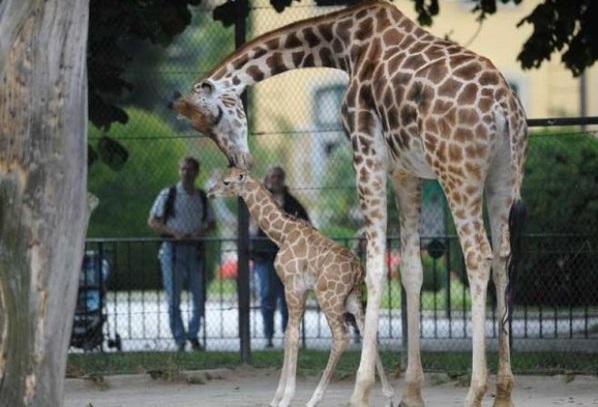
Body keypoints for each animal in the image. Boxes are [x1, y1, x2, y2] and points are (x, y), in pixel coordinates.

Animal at [206, 168, 394, 407]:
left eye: (226, 182)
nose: (210, 193)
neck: (282, 234)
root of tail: (358, 270)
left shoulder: (292, 286)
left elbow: (292, 336)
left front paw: (284, 398)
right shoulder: (301, 290)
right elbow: (288, 333)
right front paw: (277, 398)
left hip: (329, 298)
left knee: (341, 336)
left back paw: (314, 399)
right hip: (353, 301)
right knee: (369, 332)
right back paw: (388, 396)